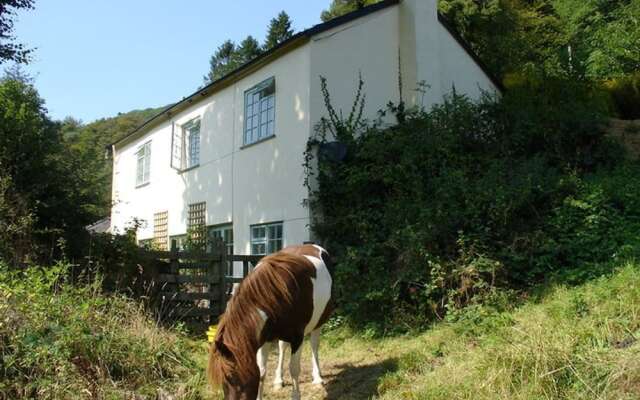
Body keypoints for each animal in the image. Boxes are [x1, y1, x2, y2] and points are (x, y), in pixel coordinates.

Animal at [209, 244, 332, 400]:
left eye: (232, 377)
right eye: (223, 380)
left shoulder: (297, 338)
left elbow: (294, 369)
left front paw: (296, 394)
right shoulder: (264, 337)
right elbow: (261, 371)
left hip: (318, 322)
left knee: (314, 345)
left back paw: (317, 377)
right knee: (282, 348)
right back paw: (279, 380)